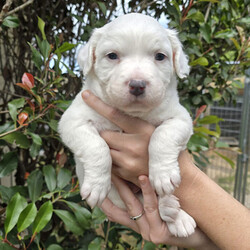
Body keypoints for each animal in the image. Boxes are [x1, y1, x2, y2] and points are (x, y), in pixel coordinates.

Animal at [58, 13, 195, 236]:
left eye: (160, 56)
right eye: (112, 56)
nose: (137, 85)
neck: (131, 114)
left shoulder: (180, 118)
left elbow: (163, 136)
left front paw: (163, 175)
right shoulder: (73, 121)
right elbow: (96, 147)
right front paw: (97, 184)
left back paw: (176, 215)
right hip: (118, 197)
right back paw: (171, 210)